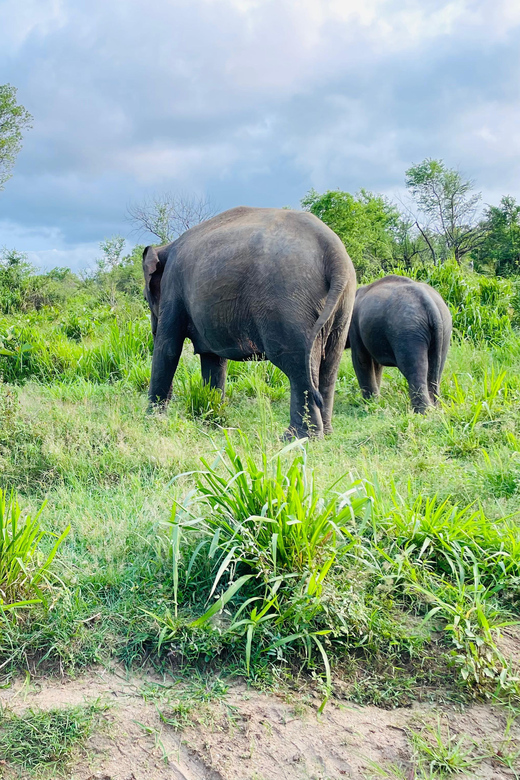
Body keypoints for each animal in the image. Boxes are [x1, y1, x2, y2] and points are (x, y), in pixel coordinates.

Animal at [142, 207, 356, 438]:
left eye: (145, 298)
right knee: (330, 364)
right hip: (342, 305)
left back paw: (296, 437)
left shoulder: (173, 288)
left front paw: (151, 419)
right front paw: (211, 419)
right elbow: (213, 360)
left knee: (296, 364)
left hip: (290, 303)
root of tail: (333, 250)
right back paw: (325, 433)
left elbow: (168, 349)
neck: (166, 246)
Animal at [348, 274, 452, 412]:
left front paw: (369, 404)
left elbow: (361, 359)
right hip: (444, 330)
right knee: (436, 368)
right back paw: (435, 408)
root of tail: (430, 304)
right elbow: (376, 365)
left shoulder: (354, 326)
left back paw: (422, 412)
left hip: (408, 332)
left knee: (413, 368)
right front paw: (375, 401)